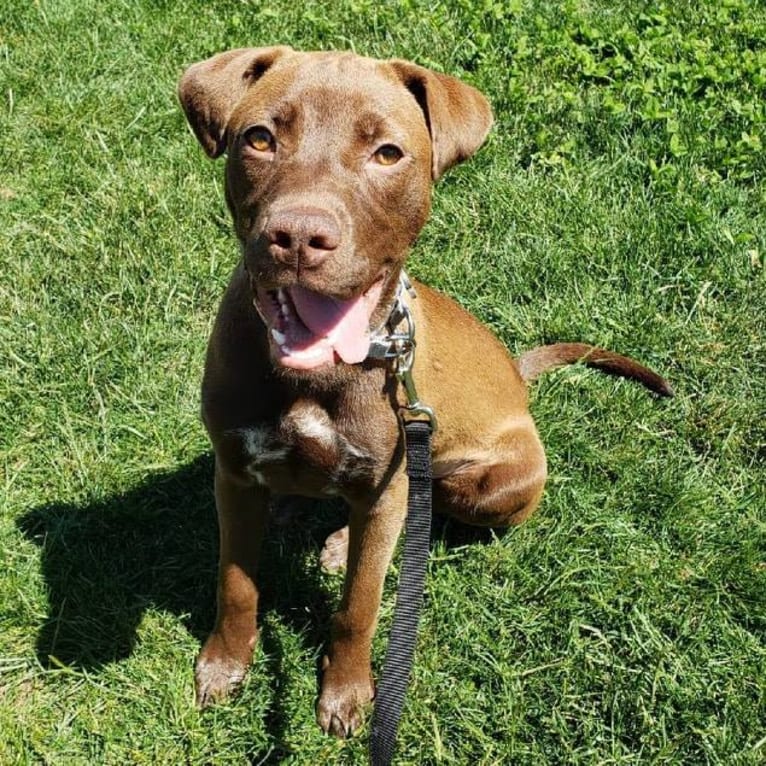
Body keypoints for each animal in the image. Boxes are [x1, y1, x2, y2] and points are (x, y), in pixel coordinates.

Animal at [178, 46, 672, 736]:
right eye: (259, 139)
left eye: (387, 153)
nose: (300, 236)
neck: (318, 374)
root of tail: (517, 376)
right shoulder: (232, 473)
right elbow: (236, 583)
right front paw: (225, 662)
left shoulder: (383, 486)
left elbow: (360, 604)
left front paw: (346, 690)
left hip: (484, 484)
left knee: (427, 510)